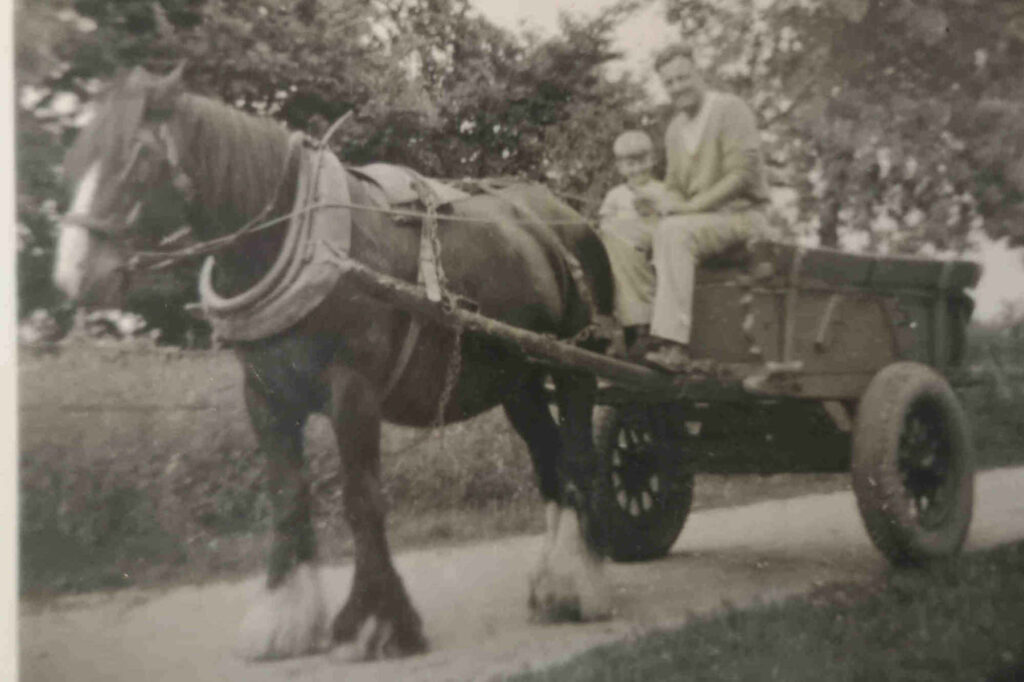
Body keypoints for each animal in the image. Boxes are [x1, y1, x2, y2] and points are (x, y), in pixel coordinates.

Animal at [52, 65, 616, 661]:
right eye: (76, 159)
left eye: (138, 156)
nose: (74, 275)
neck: (300, 244)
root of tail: (565, 217)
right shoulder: (264, 396)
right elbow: (287, 494)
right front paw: (284, 617)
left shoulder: (353, 389)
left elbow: (361, 498)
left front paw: (376, 622)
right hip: (519, 382)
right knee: (550, 464)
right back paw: (553, 585)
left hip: (577, 366)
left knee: (579, 460)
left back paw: (581, 585)